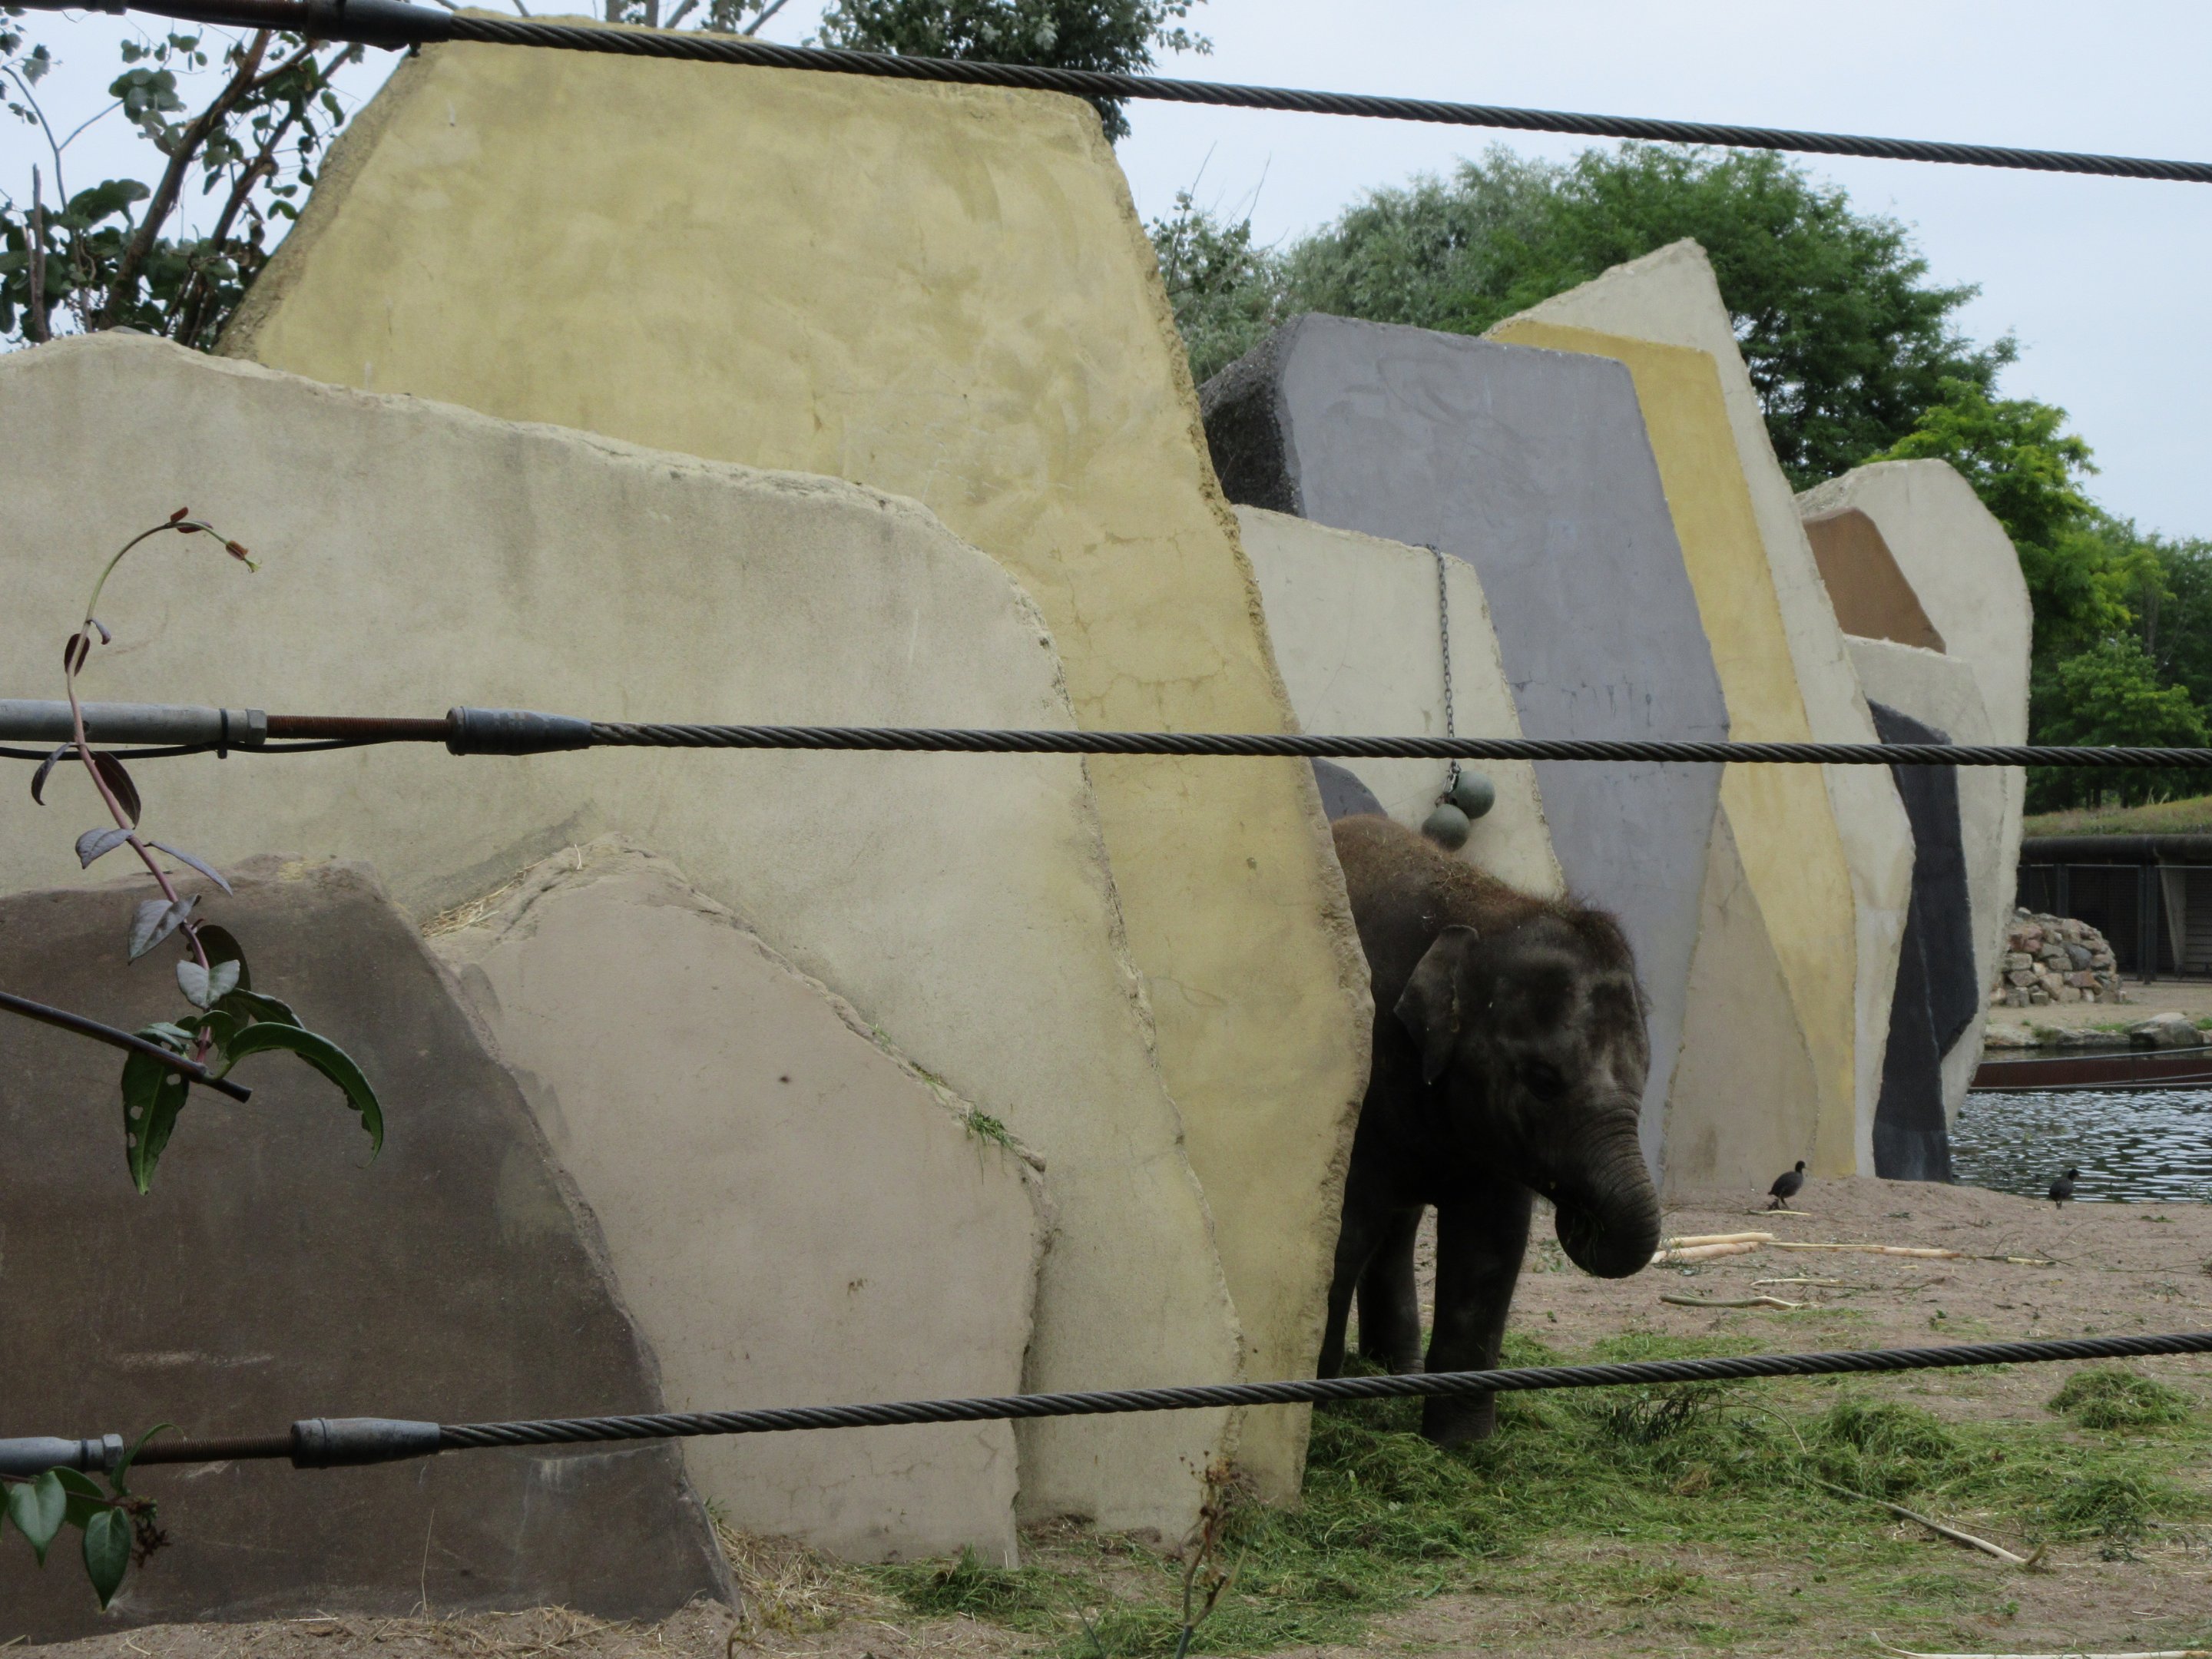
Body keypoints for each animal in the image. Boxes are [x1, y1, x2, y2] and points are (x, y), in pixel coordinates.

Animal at [1319, 813, 1662, 1445]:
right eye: (1544, 1081)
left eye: (1643, 1079)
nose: (1581, 1215)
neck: (1484, 910)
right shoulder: (1361, 1081)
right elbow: (1340, 1232)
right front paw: (1317, 1419)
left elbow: (1491, 1247)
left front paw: (1462, 1448)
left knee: (1398, 1229)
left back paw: (1395, 1370)